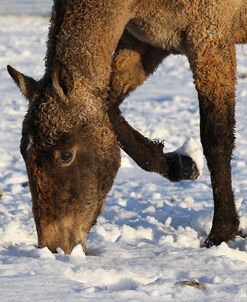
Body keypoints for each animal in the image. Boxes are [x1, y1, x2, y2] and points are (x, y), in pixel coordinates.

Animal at [6, 0, 246, 252]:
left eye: (65, 155)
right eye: (23, 153)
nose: (54, 246)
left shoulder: (210, 39)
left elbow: (216, 138)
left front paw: (221, 233)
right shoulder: (146, 42)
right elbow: (110, 105)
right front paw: (181, 164)